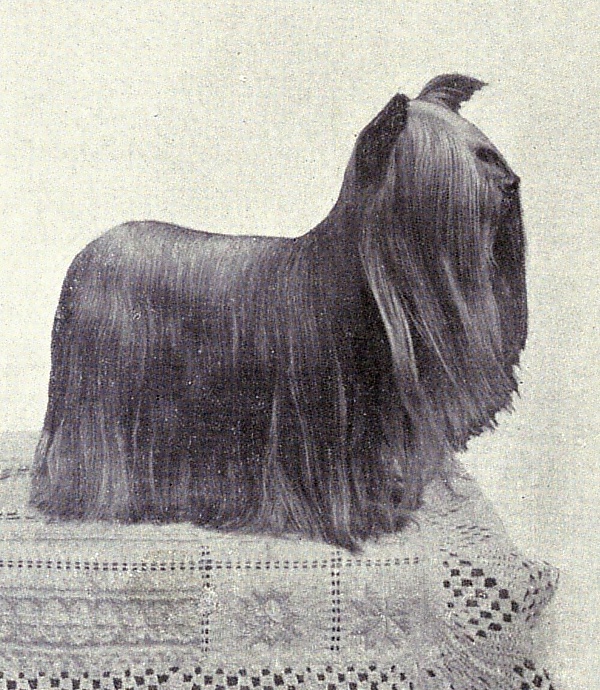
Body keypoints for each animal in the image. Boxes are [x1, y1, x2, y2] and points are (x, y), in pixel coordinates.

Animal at [31, 74, 526, 550]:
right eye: (464, 162)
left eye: (488, 152)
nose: (511, 183)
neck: (353, 274)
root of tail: (87, 255)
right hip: (99, 396)